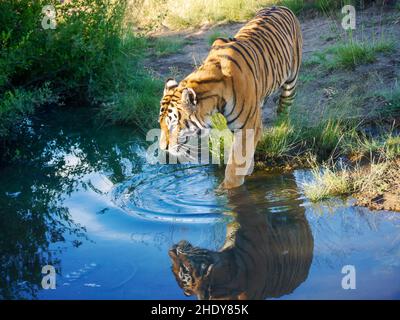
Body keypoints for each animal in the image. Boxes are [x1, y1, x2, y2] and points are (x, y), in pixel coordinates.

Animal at [158, 6, 302, 189]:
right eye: (160, 124)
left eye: (173, 125)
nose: (163, 148)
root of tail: (280, 6)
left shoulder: (247, 127)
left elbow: (234, 167)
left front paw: (227, 190)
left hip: (291, 80)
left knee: (284, 107)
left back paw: (283, 126)